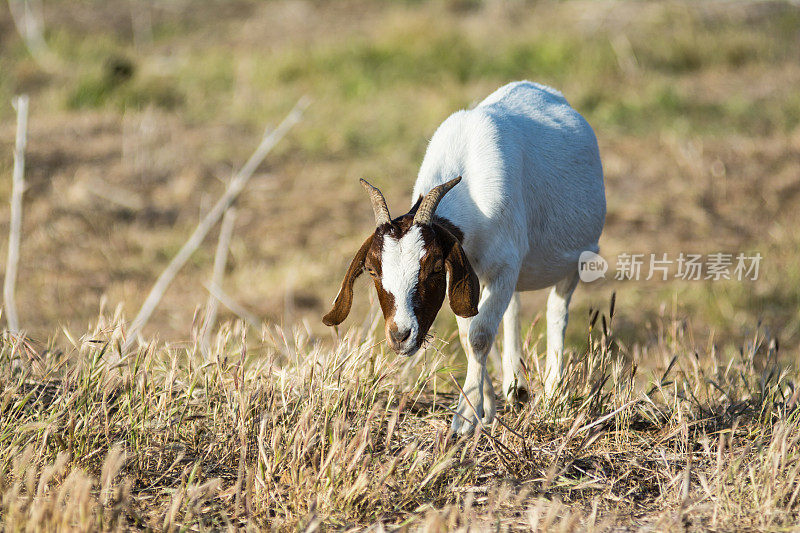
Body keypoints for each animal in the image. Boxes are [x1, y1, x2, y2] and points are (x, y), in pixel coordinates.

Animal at [322, 82, 604, 432]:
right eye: (373, 271)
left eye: (432, 268)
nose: (400, 336)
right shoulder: (466, 272)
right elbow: (468, 335)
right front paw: (485, 408)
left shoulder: (501, 267)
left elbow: (479, 336)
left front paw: (464, 419)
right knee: (512, 310)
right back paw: (516, 387)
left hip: (573, 262)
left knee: (557, 312)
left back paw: (552, 394)